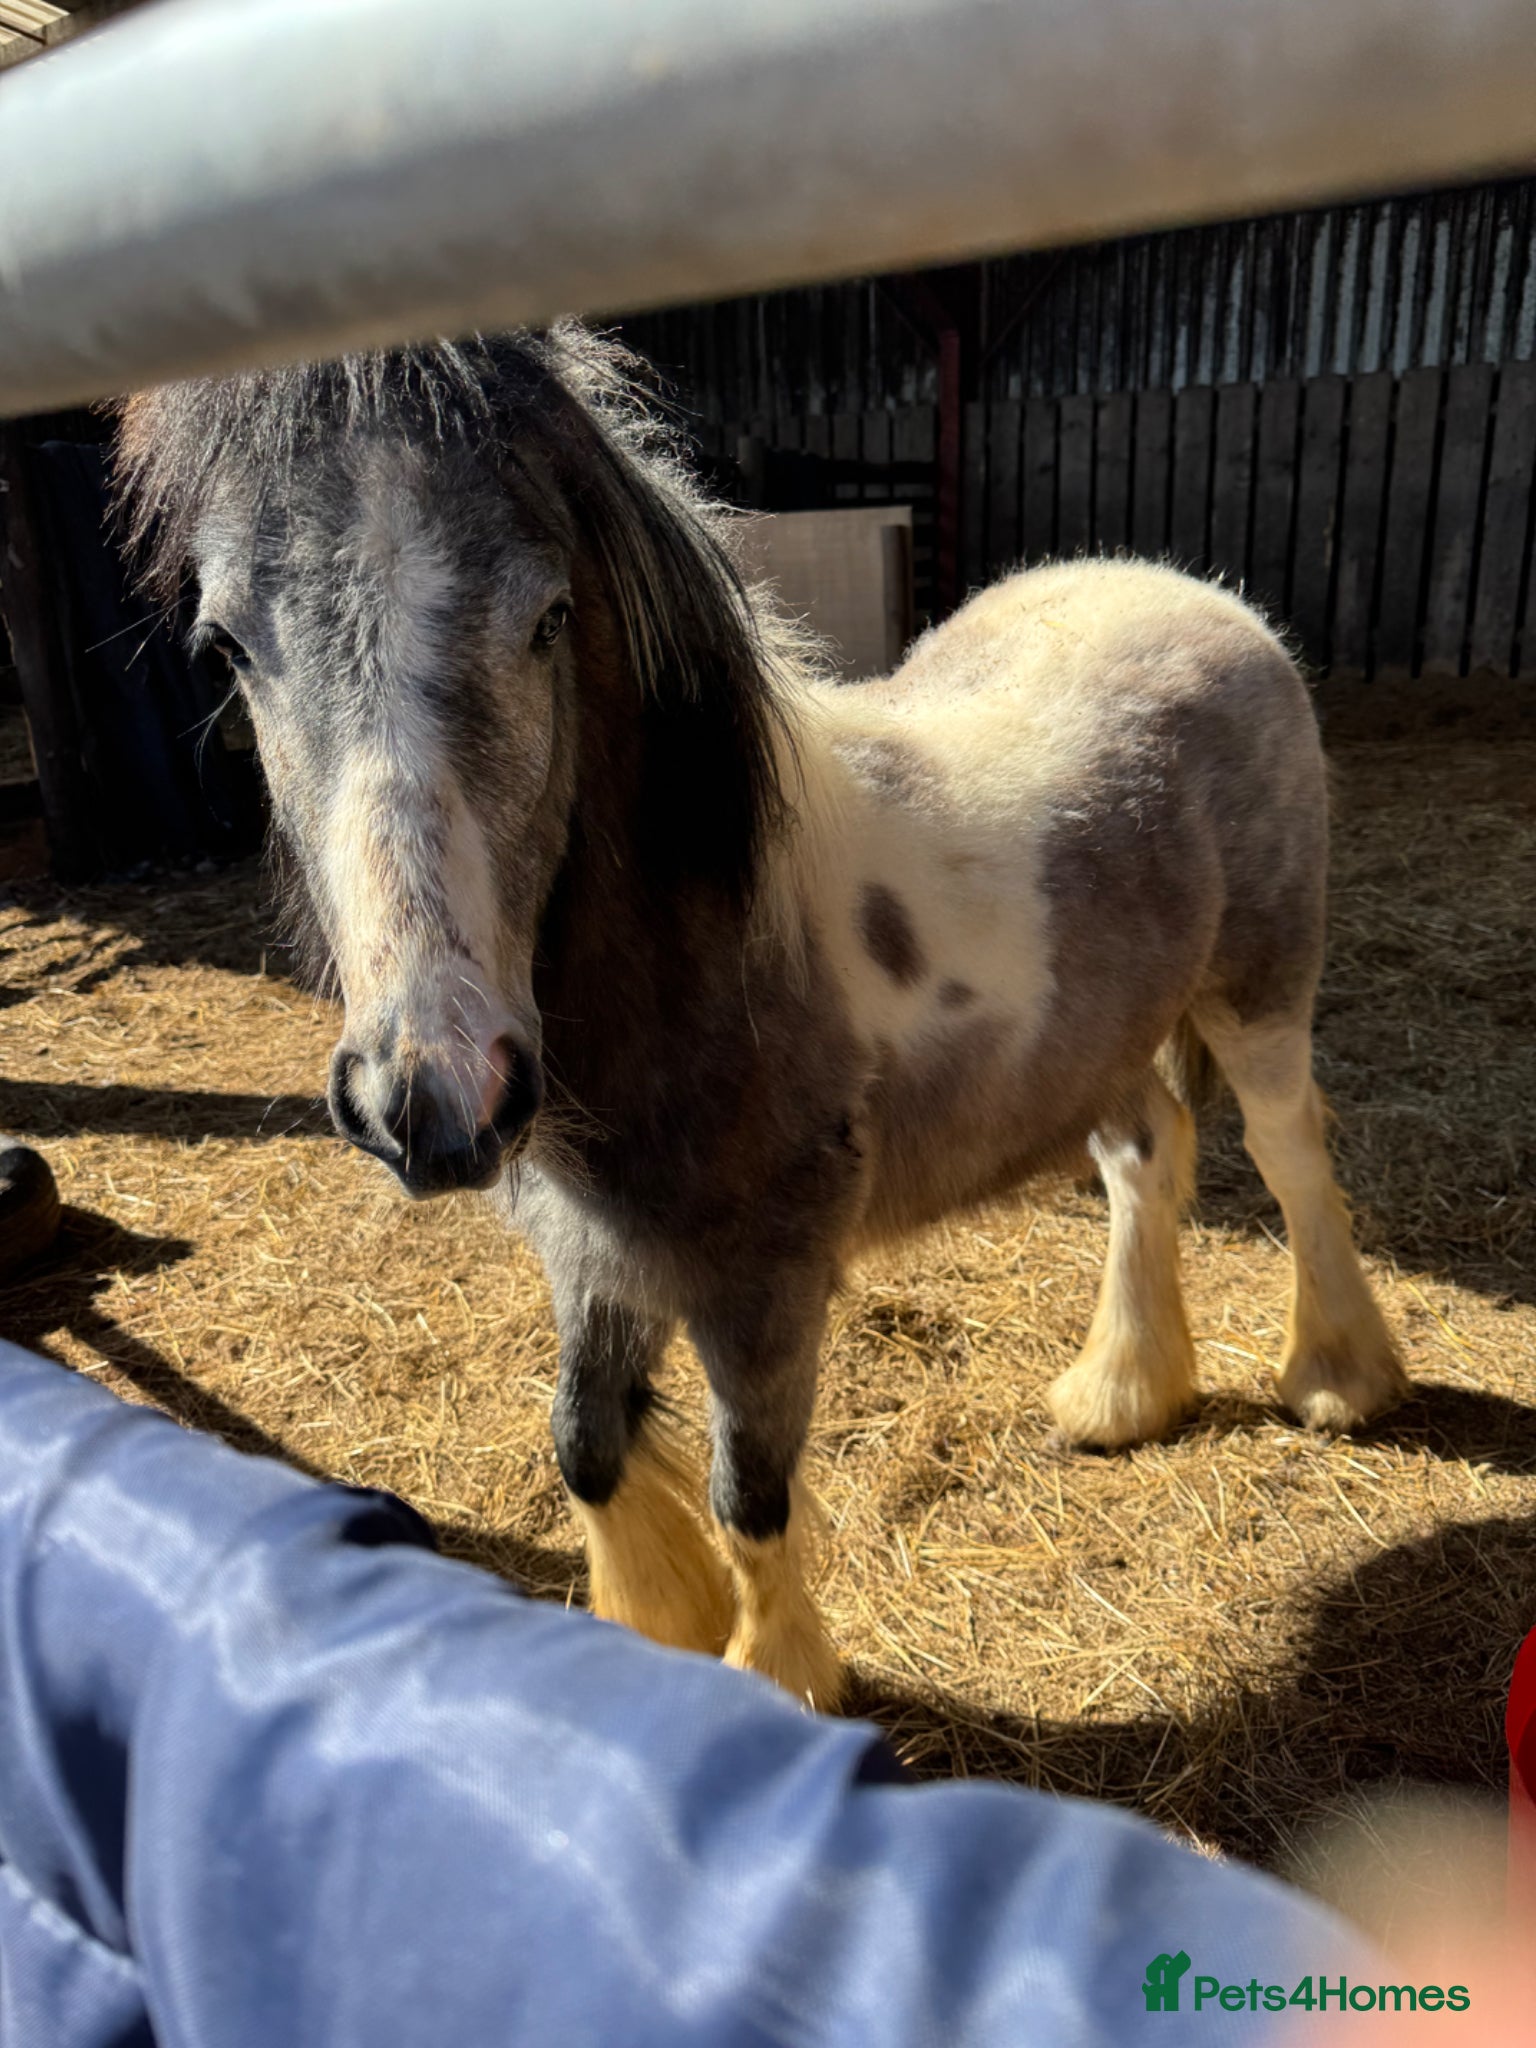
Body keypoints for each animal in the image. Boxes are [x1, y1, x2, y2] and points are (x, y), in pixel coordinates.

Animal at [114, 326, 1406, 1710]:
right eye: (226, 647)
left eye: (548, 617)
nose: (435, 1096)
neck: (706, 956)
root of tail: (1192, 594)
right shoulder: (595, 1253)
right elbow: (586, 1441)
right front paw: (657, 1623)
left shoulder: (764, 1278)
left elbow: (750, 1489)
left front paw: (782, 1677)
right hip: (1095, 1040)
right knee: (1147, 1148)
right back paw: (1120, 1393)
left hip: (1259, 988)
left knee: (1288, 1148)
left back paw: (1339, 1379)